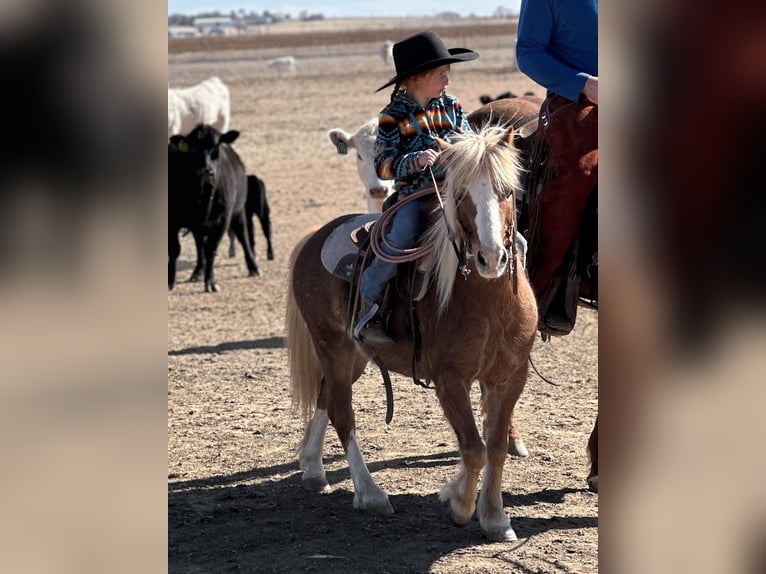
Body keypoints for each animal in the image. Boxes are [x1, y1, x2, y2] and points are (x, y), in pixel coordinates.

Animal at [286, 125, 538, 541]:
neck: (487, 304)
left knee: (326, 395)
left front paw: (495, 516)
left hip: (354, 355)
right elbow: (473, 448)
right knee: (342, 412)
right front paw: (461, 503)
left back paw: (312, 467)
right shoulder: (449, 380)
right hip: (332, 345)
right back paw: (370, 493)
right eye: (460, 194)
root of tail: (316, 235)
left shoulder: (509, 377)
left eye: (506, 190)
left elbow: (496, 446)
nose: (490, 258)